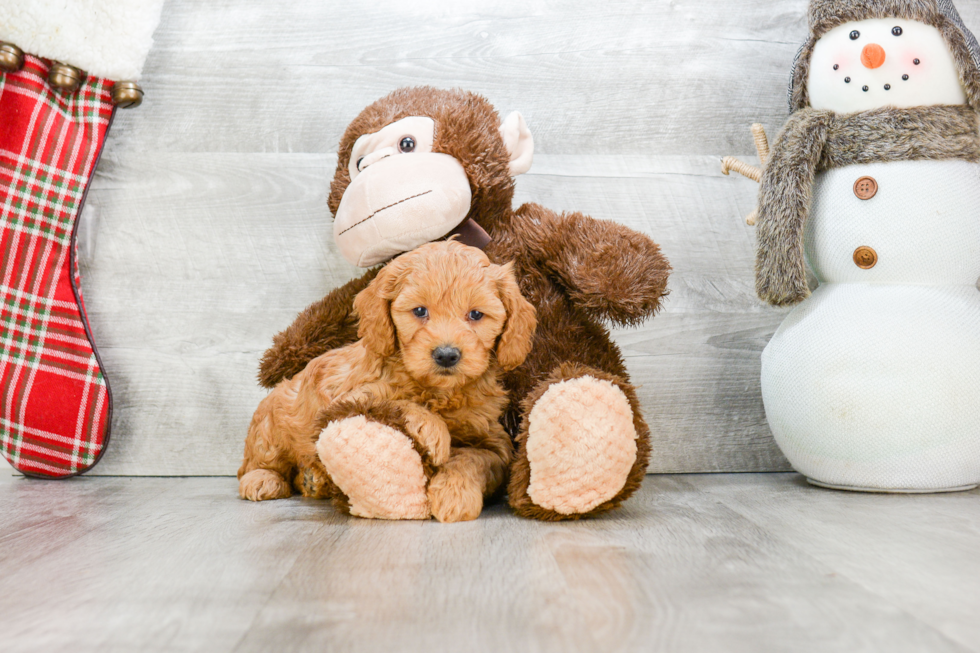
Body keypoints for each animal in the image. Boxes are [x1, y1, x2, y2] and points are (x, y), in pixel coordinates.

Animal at [237, 239, 536, 520]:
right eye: (419, 311)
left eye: (475, 314)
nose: (446, 355)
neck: (440, 393)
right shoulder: (348, 397)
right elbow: (398, 402)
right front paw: (434, 431)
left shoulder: (494, 443)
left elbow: (473, 460)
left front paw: (455, 495)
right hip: (270, 426)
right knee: (255, 463)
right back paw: (263, 480)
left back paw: (314, 480)